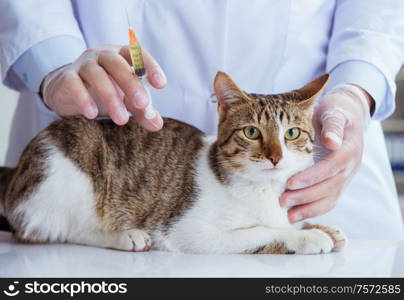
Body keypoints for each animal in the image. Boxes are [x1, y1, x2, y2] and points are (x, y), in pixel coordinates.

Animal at [0, 71, 348, 254]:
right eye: (252, 132)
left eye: (292, 133)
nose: (276, 156)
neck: (264, 190)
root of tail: (18, 172)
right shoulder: (192, 233)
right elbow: (262, 232)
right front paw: (307, 236)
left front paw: (321, 227)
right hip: (73, 170)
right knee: (55, 230)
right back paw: (126, 236)